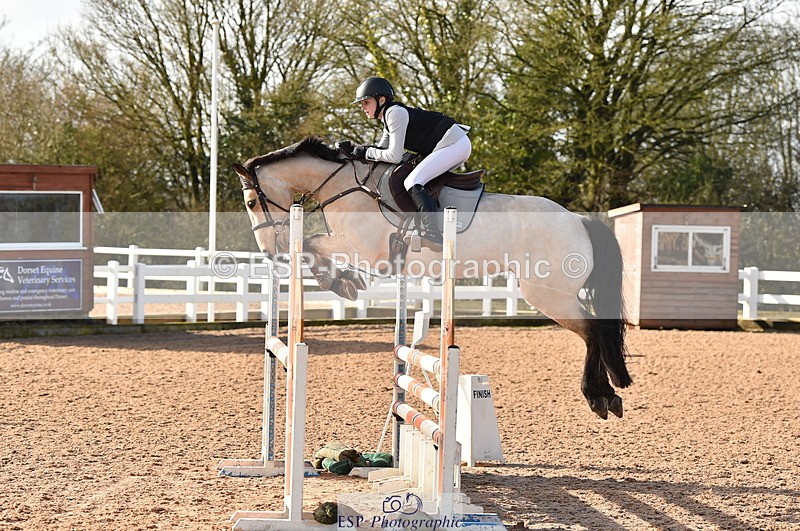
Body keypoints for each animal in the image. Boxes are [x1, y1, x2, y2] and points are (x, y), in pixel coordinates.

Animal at [233, 137, 632, 419]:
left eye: (251, 203)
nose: (270, 252)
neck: (344, 185)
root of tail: (578, 219)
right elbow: (314, 247)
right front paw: (343, 281)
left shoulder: (368, 251)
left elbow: (312, 244)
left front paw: (342, 282)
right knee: (597, 330)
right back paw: (609, 396)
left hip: (548, 293)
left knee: (593, 330)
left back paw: (598, 397)